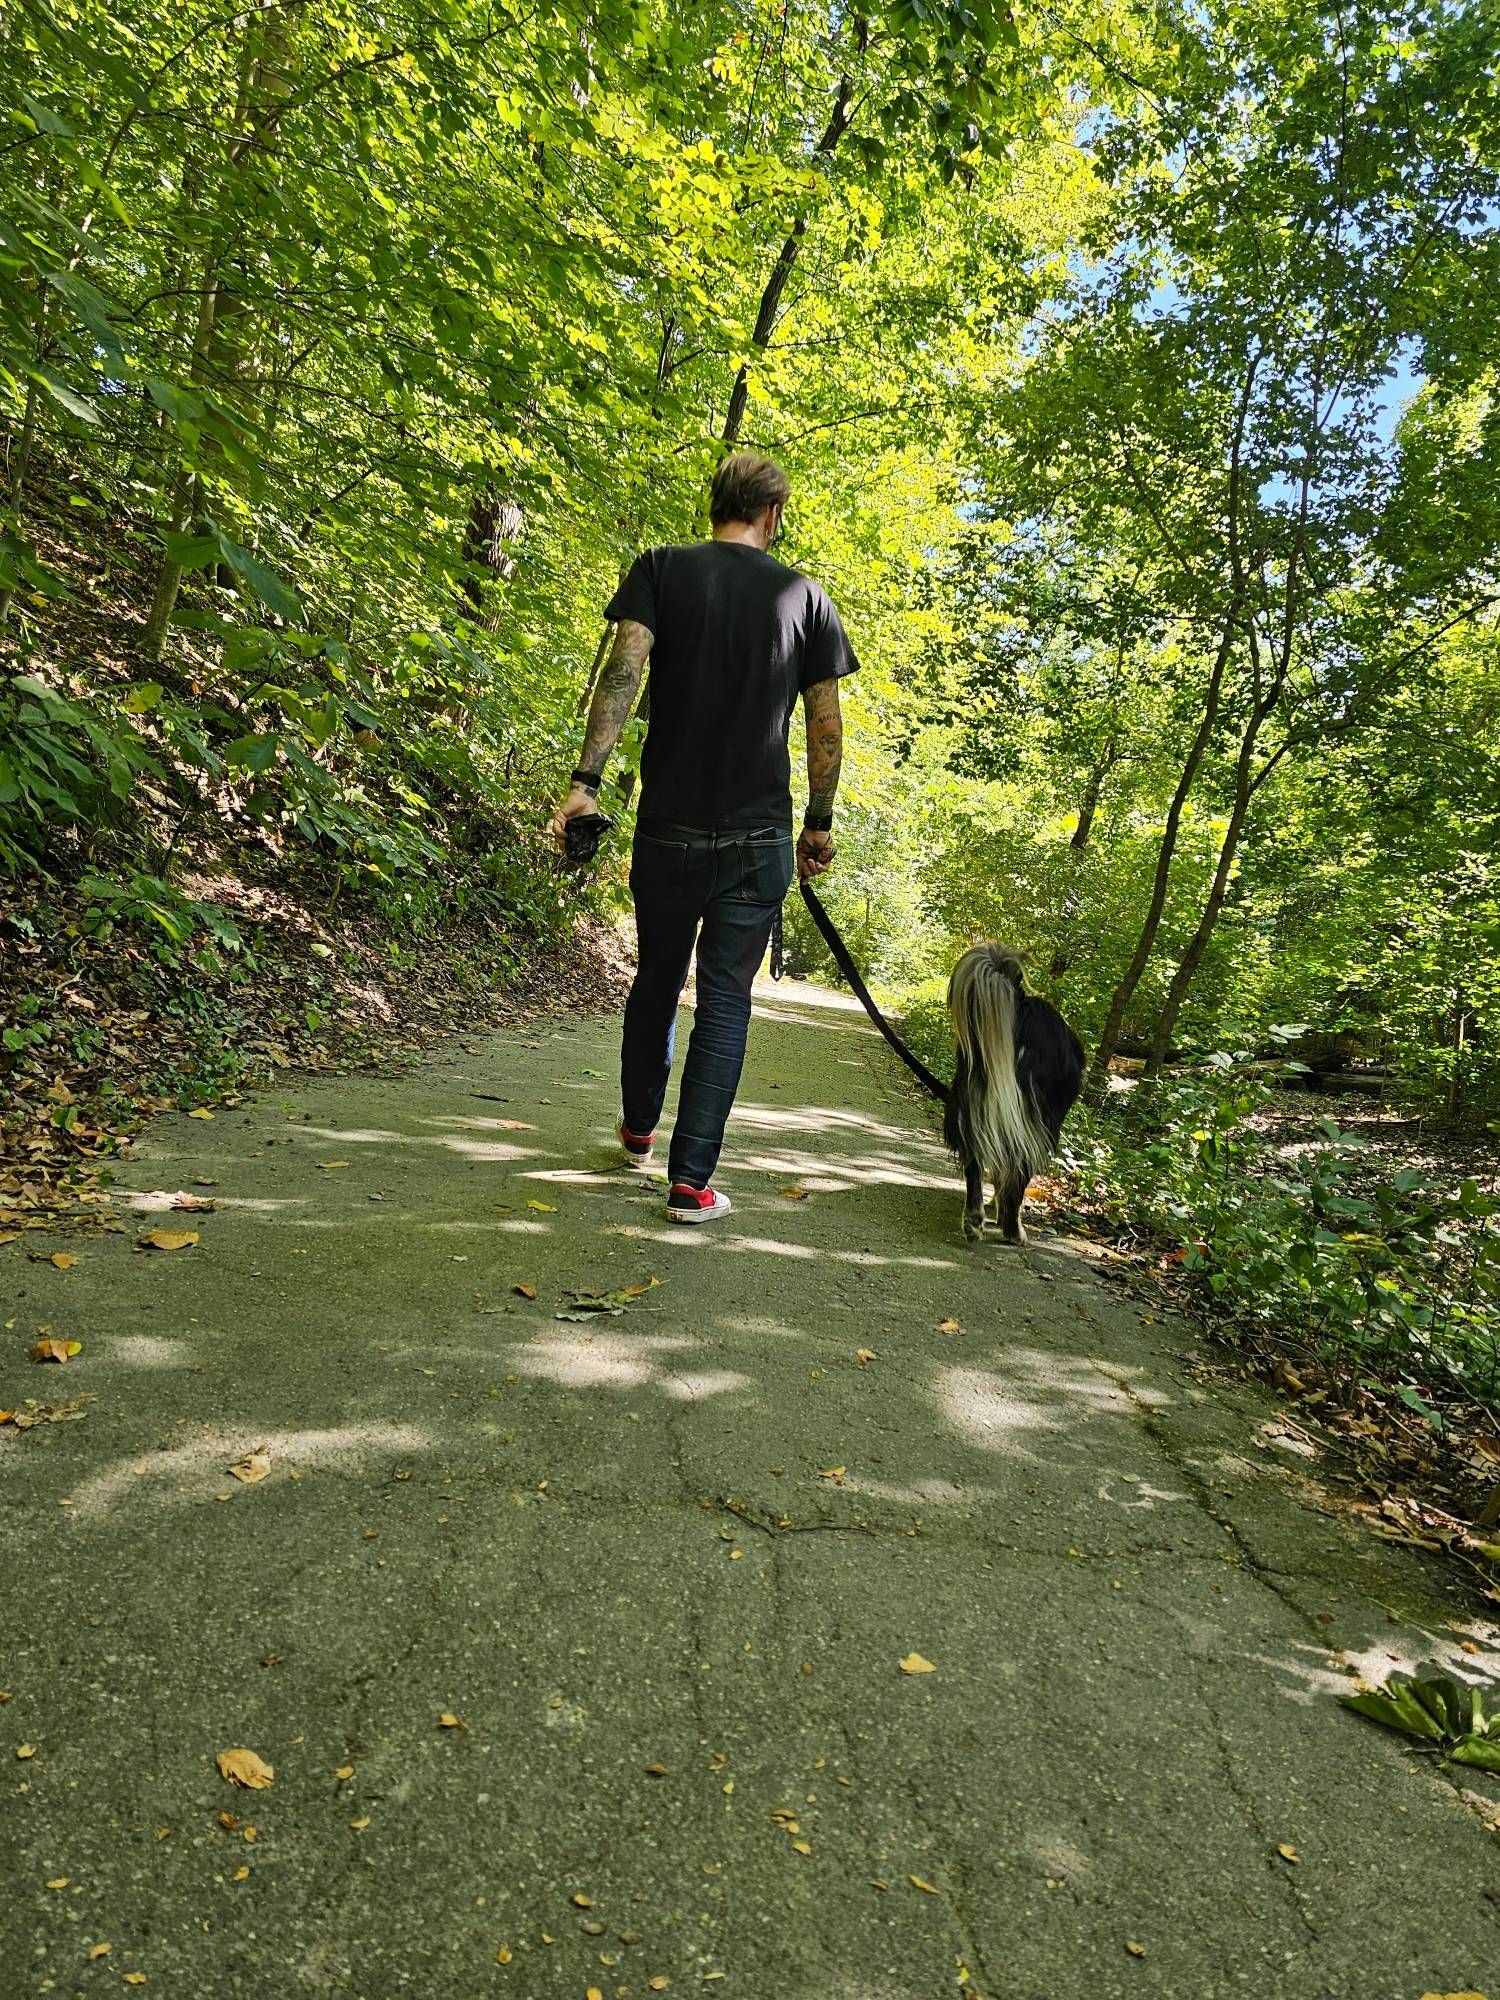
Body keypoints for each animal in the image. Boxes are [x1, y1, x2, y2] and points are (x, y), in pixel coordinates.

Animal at [944, 944, 1088, 1240]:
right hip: (1037, 1124)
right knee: (1018, 1175)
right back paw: (1013, 1230)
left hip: (973, 1104)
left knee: (974, 1164)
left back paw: (974, 1221)